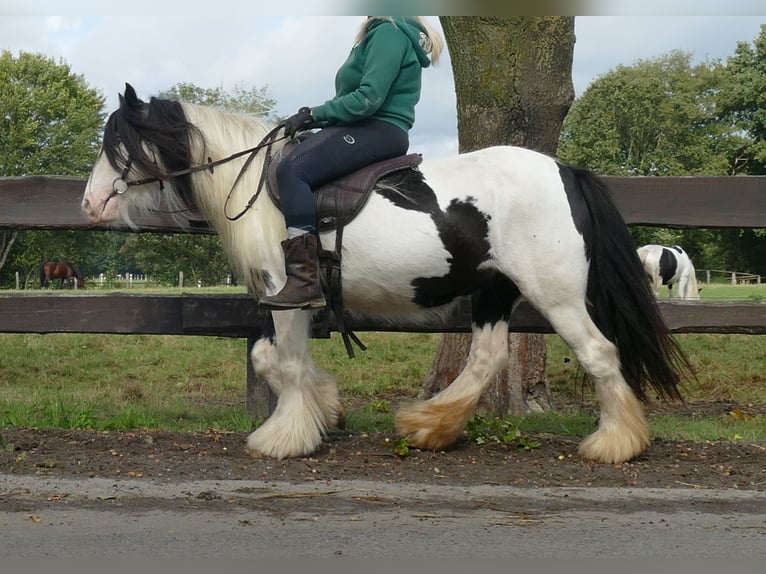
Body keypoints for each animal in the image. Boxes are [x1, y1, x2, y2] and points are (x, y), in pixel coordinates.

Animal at [81, 83, 692, 466]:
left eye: (119, 148)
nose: (89, 204)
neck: (255, 183)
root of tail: (565, 171)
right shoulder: (290, 303)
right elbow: (273, 360)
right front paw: (326, 409)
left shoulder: (287, 295)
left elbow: (281, 362)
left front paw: (285, 437)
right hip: (496, 290)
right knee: (487, 358)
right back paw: (430, 425)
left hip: (555, 294)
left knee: (600, 353)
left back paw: (615, 443)